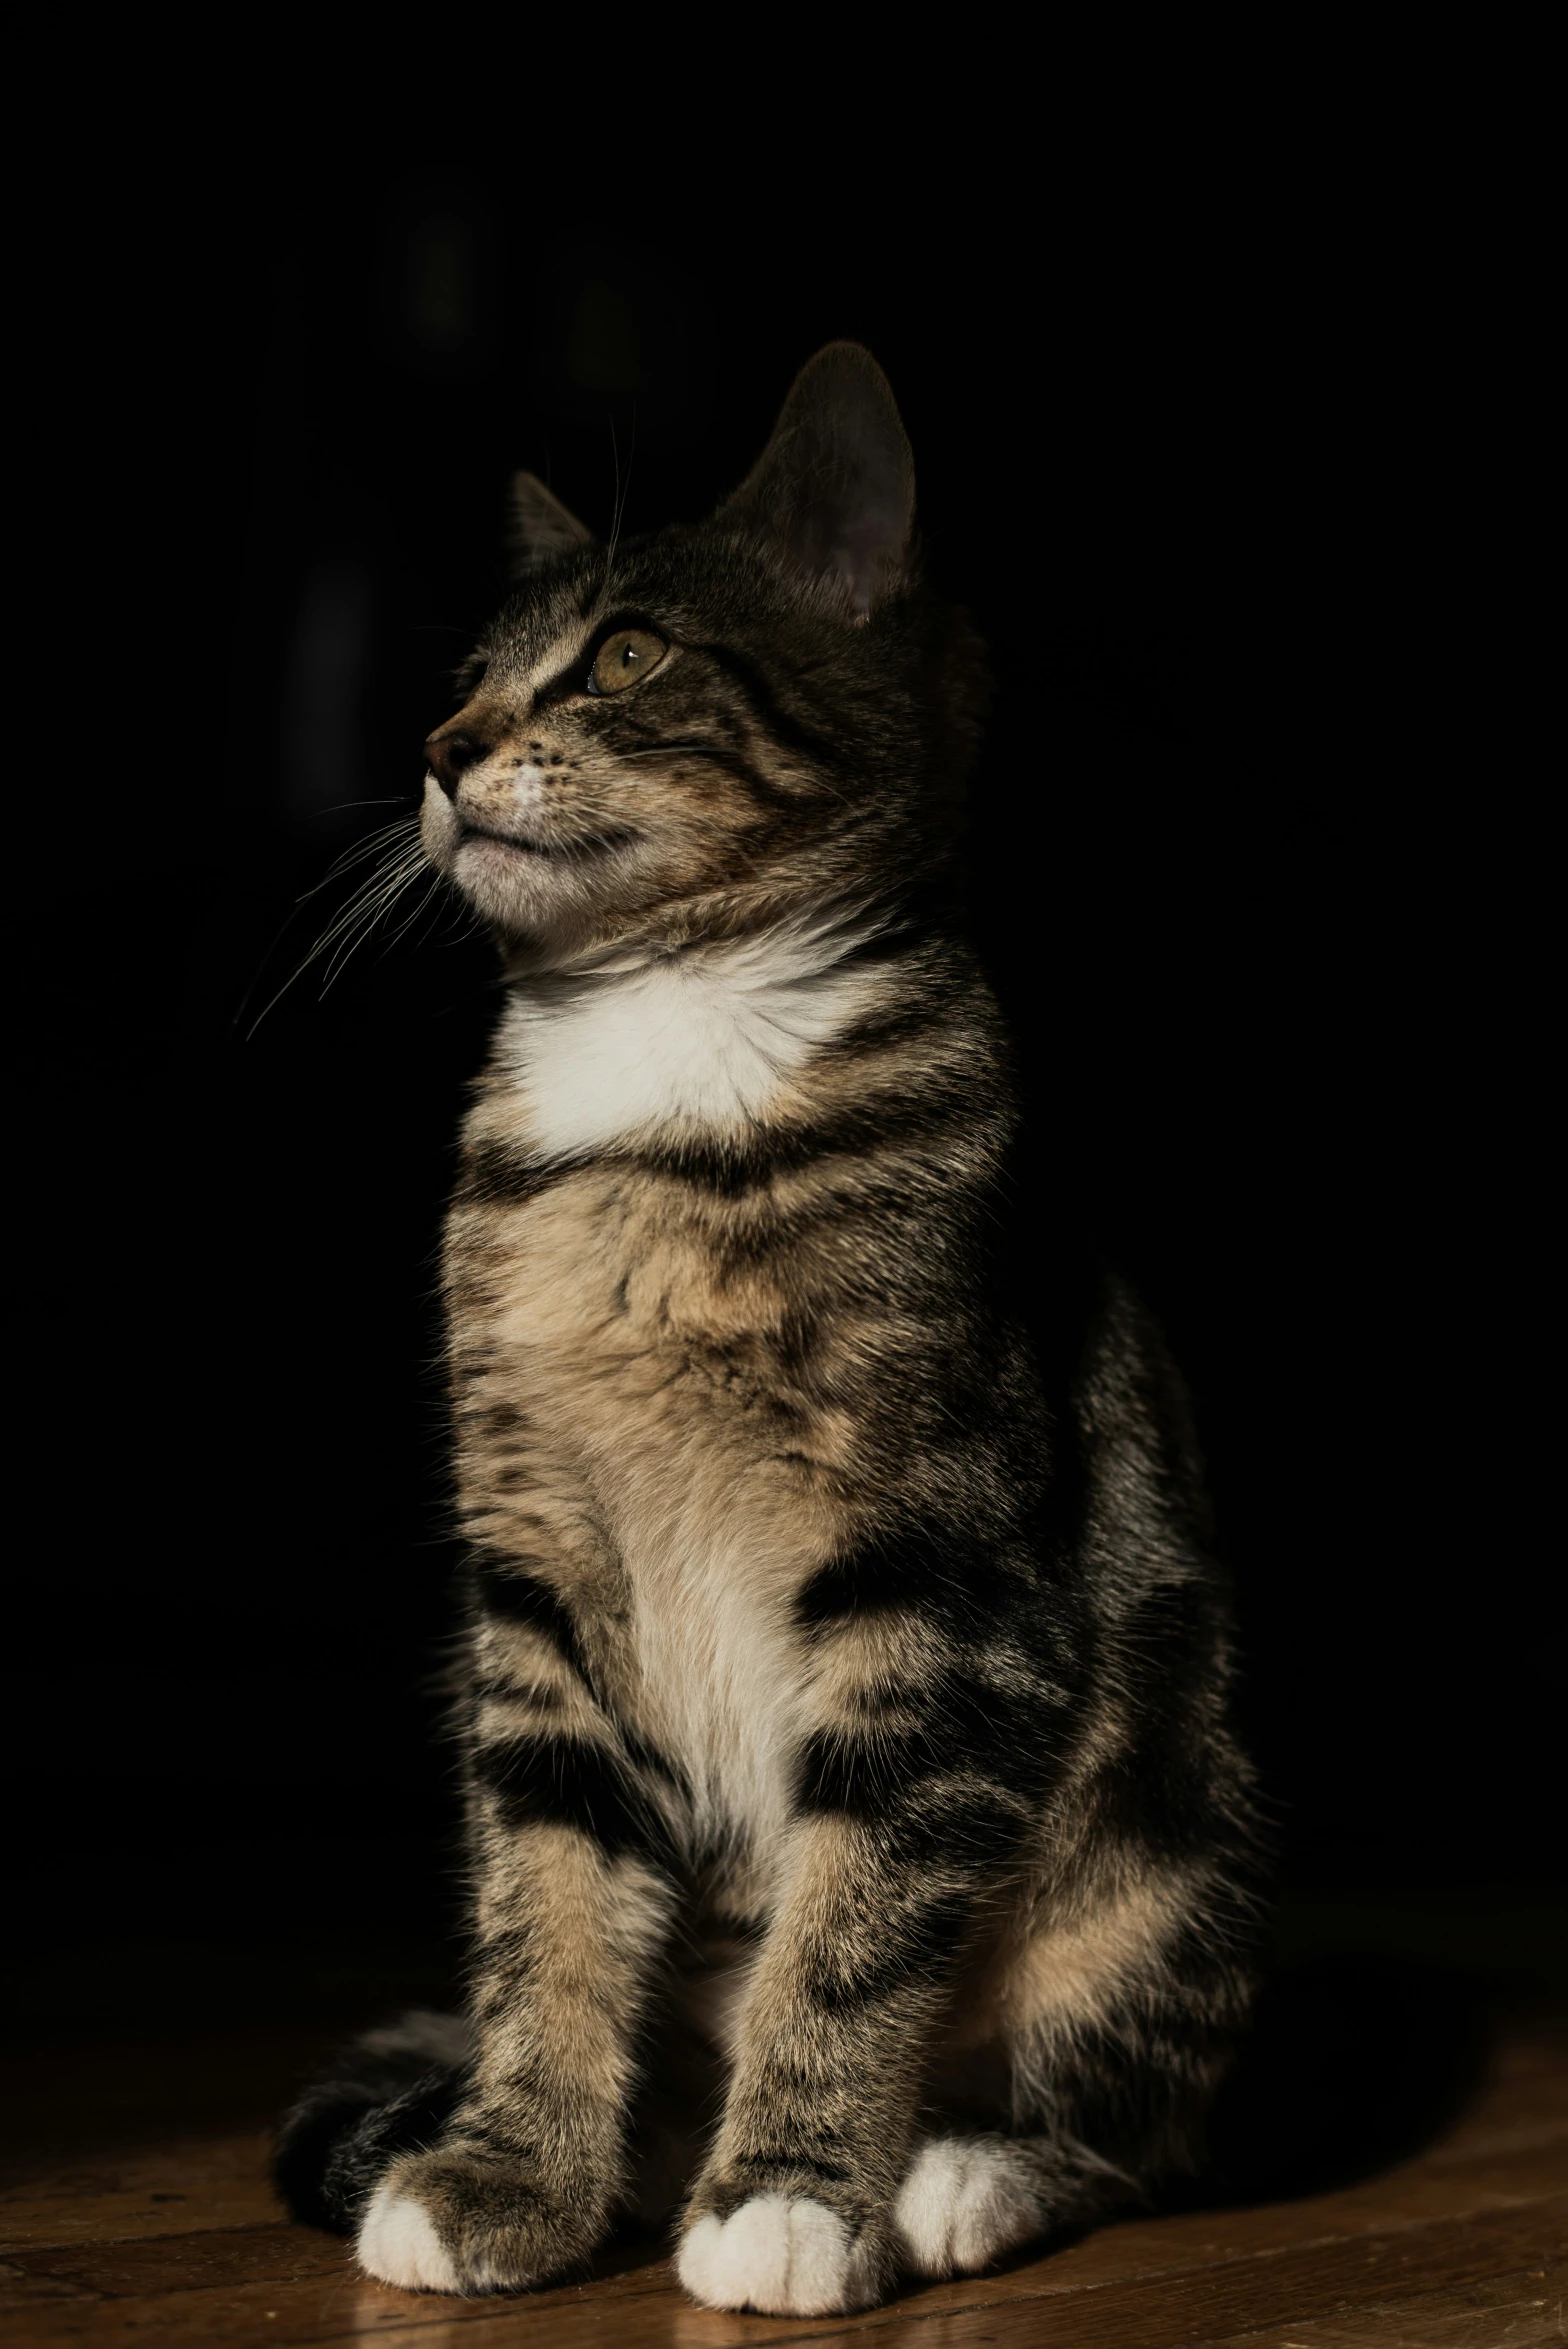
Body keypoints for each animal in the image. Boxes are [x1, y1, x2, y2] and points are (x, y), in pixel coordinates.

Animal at [275, 342, 1267, 2311]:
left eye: (623, 656)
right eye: (462, 678)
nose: (435, 750)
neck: (658, 1062)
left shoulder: (936, 1573)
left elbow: (855, 1906)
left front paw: (796, 2190)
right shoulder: (538, 1561)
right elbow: (547, 1889)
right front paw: (512, 2166)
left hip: (1157, 1841)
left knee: (1139, 2112)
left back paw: (956, 2166)